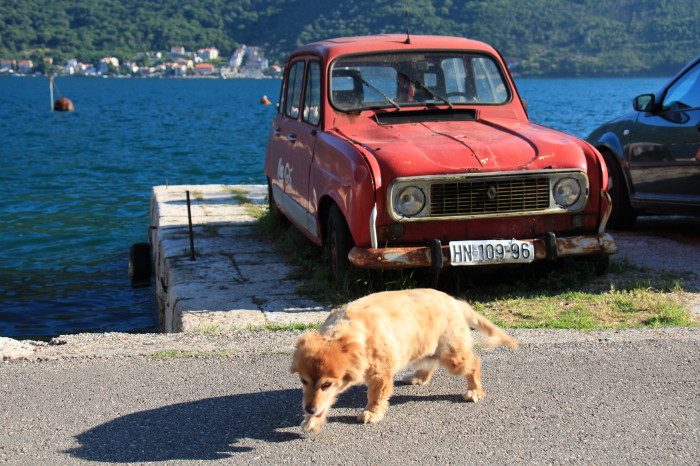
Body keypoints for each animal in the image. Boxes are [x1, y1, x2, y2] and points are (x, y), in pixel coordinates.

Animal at [290, 288, 520, 434]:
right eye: (303, 381)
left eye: (326, 384)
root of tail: (453, 300)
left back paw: (474, 390)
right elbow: (323, 403)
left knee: (474, 363)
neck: (347, 334)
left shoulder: (381, 374)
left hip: (453, 357)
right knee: (430, 364)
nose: (308, 410)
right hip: (425, 348)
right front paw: (312, 421)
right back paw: (418, 377)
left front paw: (372, 413)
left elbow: (376, 396)